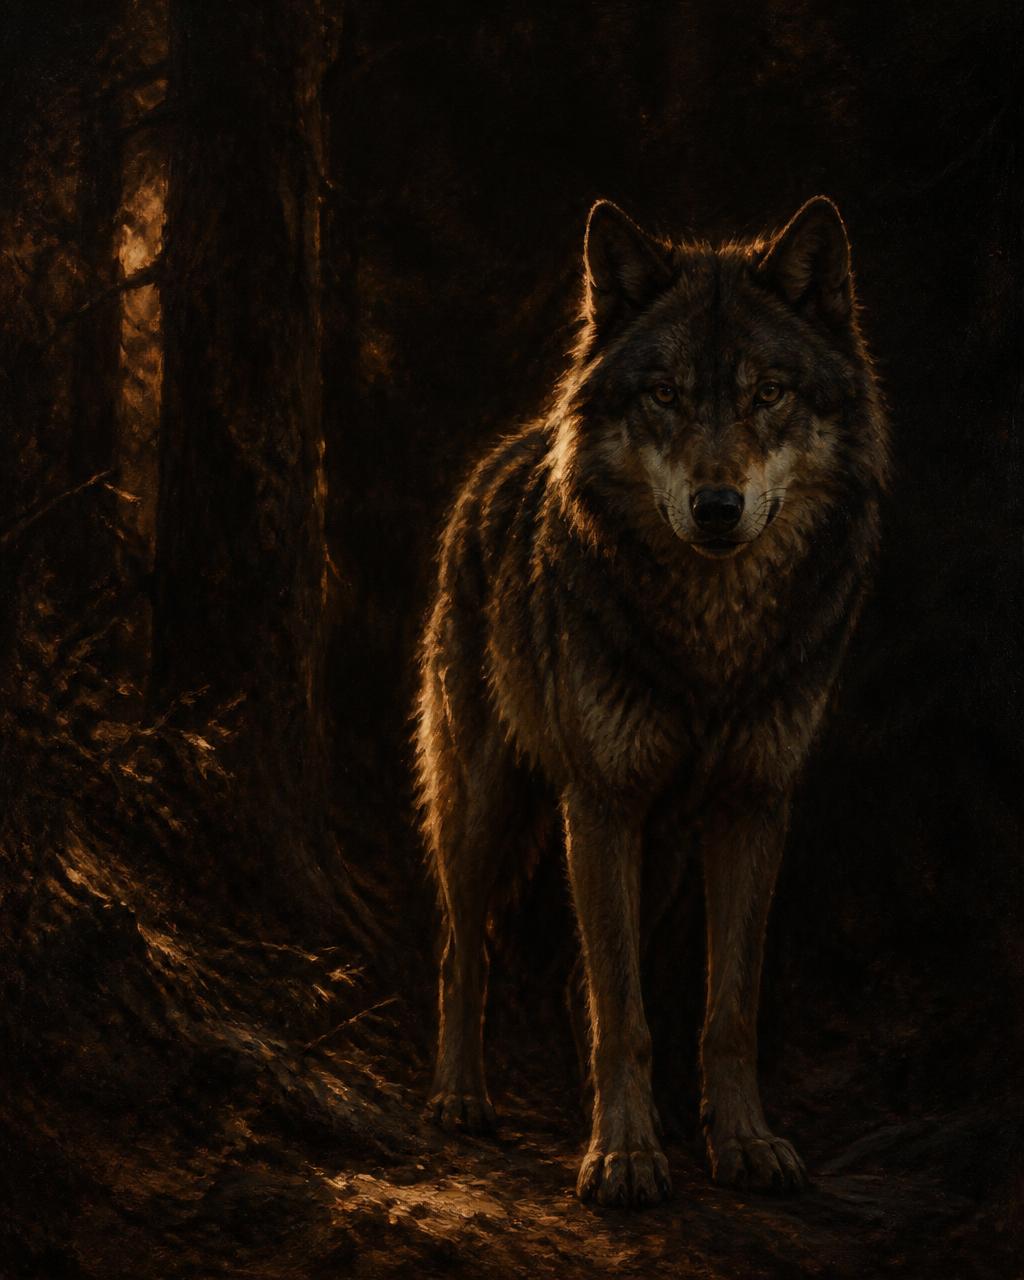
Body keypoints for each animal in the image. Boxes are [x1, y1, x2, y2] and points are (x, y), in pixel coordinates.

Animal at [415, 196, 889, 1208]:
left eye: (769, 393)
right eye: (664, 394)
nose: (717, 506)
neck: (712, 640)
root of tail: (504, 452)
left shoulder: (753, 807)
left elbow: (726, 1010)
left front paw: (740, 1142)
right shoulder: (600, 804)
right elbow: (622, 1009)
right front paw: (623, 1158)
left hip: (663, 852)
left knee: (573, 981)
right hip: (491, 807)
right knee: (464, 949)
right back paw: (461, 1097)